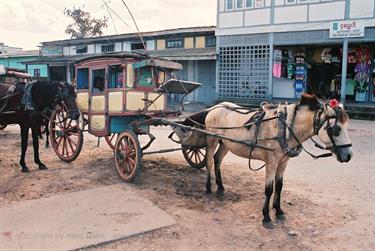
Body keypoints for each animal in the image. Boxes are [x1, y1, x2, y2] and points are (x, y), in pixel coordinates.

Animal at [181, 94, 354, 229]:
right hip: (212, 140)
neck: (285, 128)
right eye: (336, 129)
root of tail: (214, 108)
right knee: (209, 161)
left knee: (217, 160)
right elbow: (269, 189)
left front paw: (278, 211)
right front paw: (266, 216)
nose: (349, 156)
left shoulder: (283, 162)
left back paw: (221, 186)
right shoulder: (271, 162)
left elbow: (279, 186)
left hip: (226, 143)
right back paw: (209, 187)